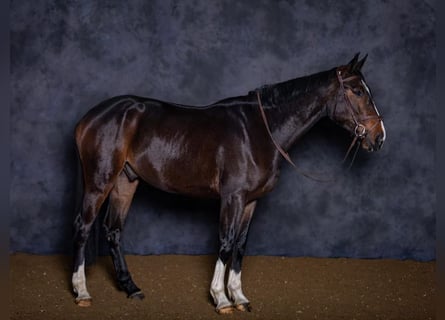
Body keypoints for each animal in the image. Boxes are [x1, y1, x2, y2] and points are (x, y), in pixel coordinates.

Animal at [73, 53, 386, 314]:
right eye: (357, 91)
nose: (379, 136)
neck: (261, 130)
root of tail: (90, 117)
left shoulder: (251, 201)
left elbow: (241, 244)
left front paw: (240, 297)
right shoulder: (232, 197)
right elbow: (225, 242)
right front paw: (221, 299)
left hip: (126, 181)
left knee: (113, 231)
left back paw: (131, 288)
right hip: (100, 181)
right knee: (84, 227)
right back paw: (82, 292)